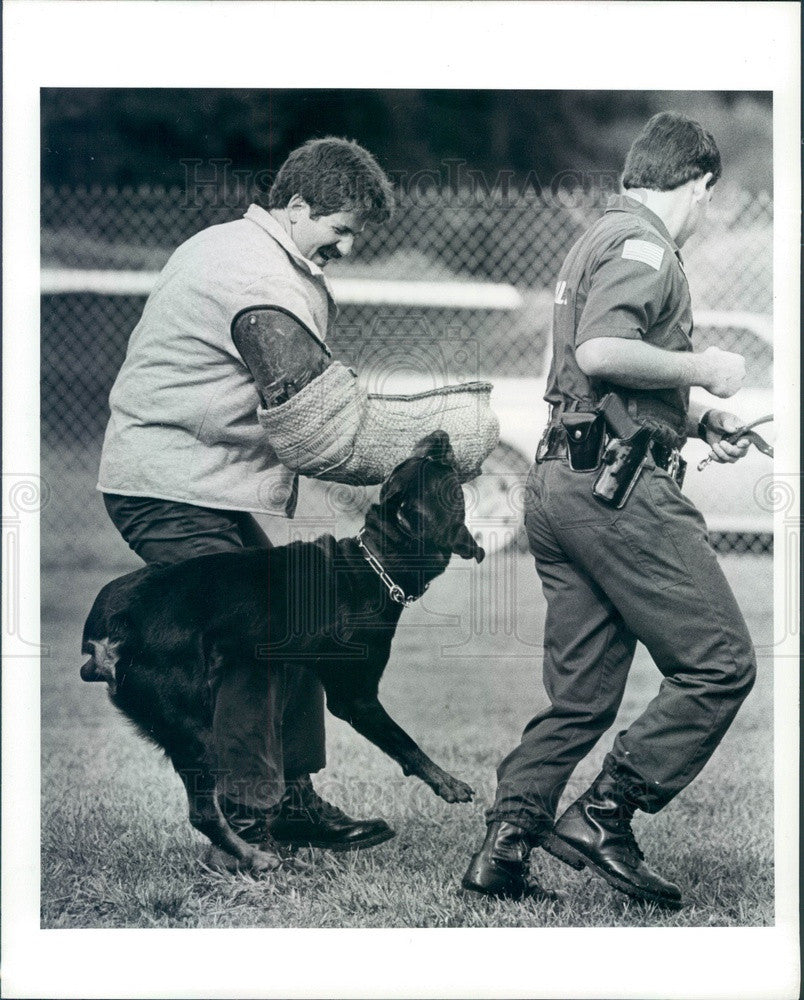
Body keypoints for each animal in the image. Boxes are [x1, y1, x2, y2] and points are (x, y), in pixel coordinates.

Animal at [81, 434, 484, 872]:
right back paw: (254, 857)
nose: (440, 436)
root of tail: (112, 630)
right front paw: (448, 783)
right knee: (204, 813)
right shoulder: (355, 697)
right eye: (442, 477)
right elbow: (404, 741)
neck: (374, 564)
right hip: (193, 727)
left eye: (401, 466)